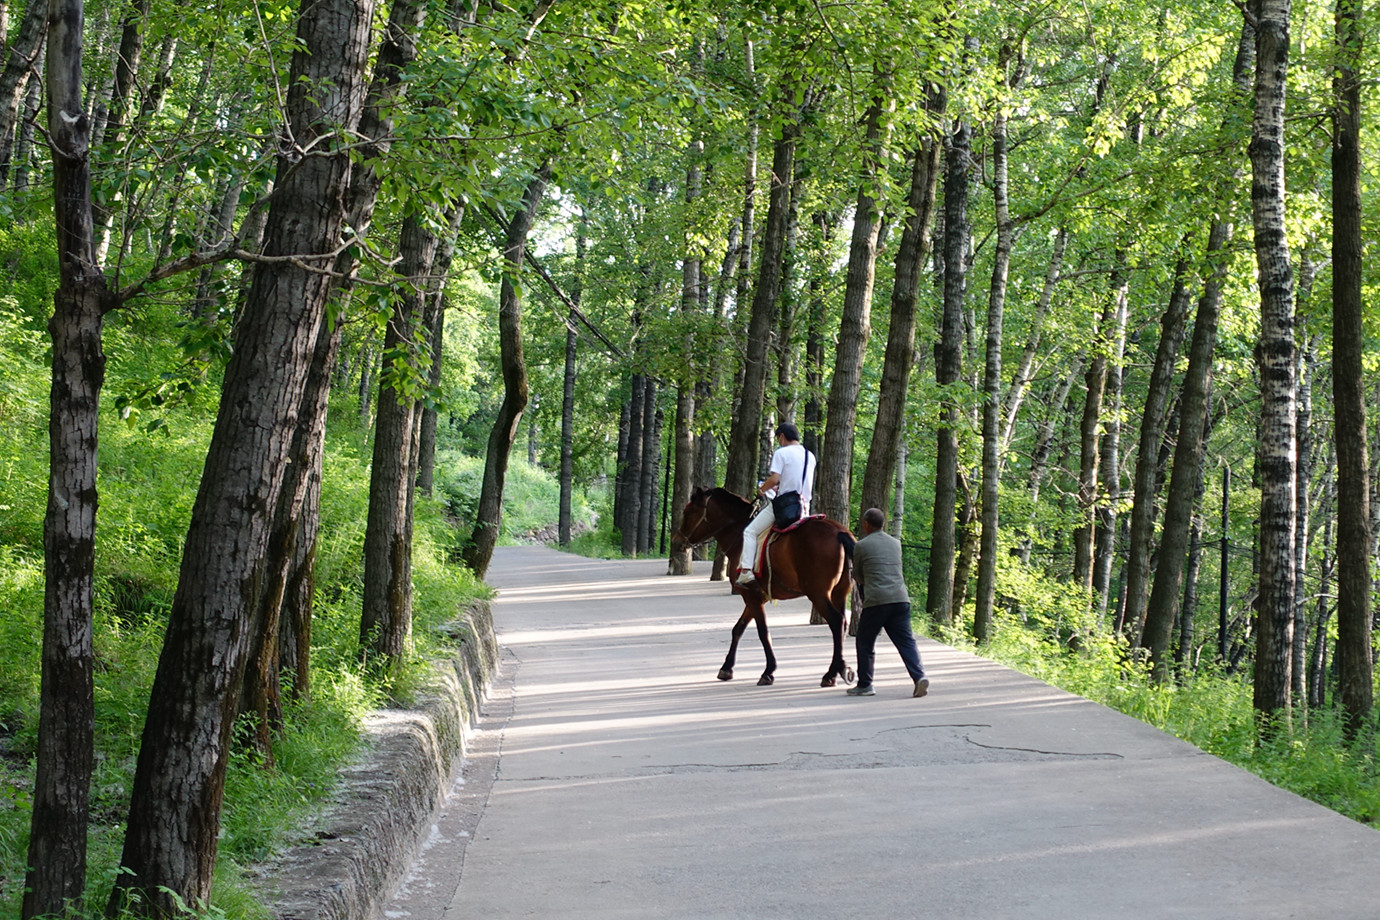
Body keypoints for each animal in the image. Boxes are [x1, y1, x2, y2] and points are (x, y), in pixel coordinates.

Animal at [670, 485, 850, 686]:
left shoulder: (752, 597)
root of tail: (839, 533)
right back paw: (841, 667)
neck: (739, 534)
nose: (676, 541)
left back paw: (830, 674)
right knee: (843, 623)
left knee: (837, 622)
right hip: (840, 592)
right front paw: (726, 668)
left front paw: (768, 671)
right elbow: (738, 628)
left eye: (688, 512)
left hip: (818, 593)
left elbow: (763, 632)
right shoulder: (755, 598)